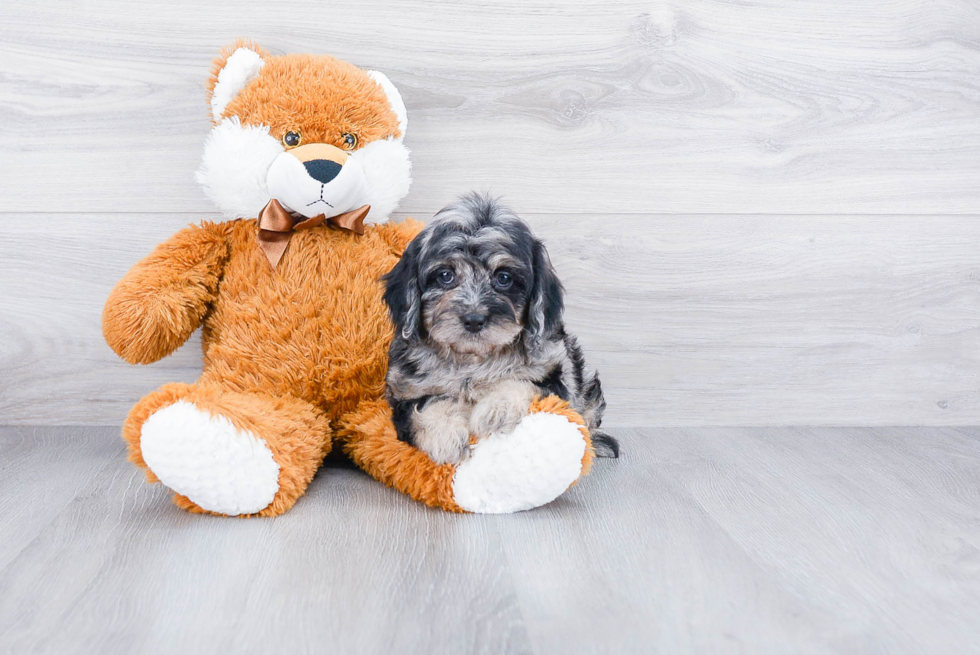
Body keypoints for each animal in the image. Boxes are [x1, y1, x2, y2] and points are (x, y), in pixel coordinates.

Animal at [378, 193, 616, 466]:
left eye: (504, 278)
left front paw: (497, 409)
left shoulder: (555, 377)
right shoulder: (403, 391)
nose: (474, 319)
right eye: (445, 275)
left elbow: (524, 381)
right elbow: (426, 405)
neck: (473, 360)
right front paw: (445, 436)